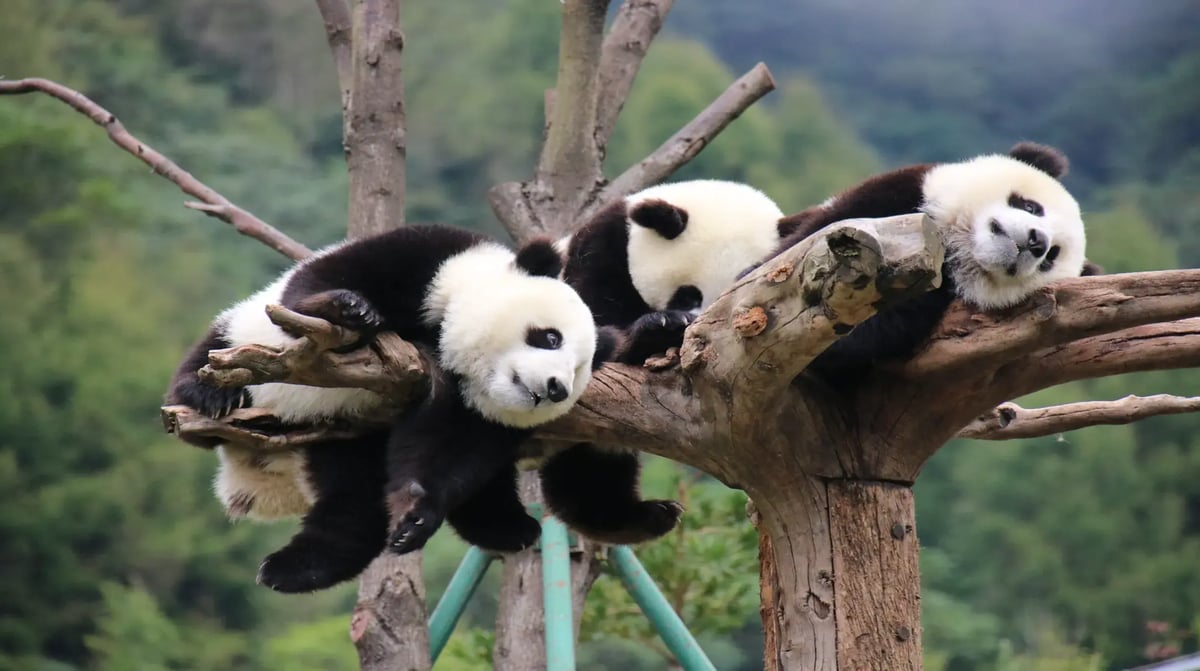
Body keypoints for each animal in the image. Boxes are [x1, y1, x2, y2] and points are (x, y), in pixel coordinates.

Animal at [166, 224, 613, 593]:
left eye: (578, 371)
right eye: (551, 337)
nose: (555, 389)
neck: (440, 343)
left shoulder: (466, 409)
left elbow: (448, 450)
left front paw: (415, 516)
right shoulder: (430, 260)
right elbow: (323, 285)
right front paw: (347, 309)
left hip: (348, 438)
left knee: (354, 504)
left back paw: (294, 569)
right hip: (243, 343)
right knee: (217, 352)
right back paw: (210, 397)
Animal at [544, 179, 796, 545]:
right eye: (688, 293)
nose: (695, 328)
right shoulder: (602, 251)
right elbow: (598, 325)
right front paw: (661, 328)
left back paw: (643, 517)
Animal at [763, 141, 1092, 378]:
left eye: (1051, 257)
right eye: (1031, 206)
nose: (1037, 242)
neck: (955, 245)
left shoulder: (935, 293)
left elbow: (882, 329)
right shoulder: (900, 193)